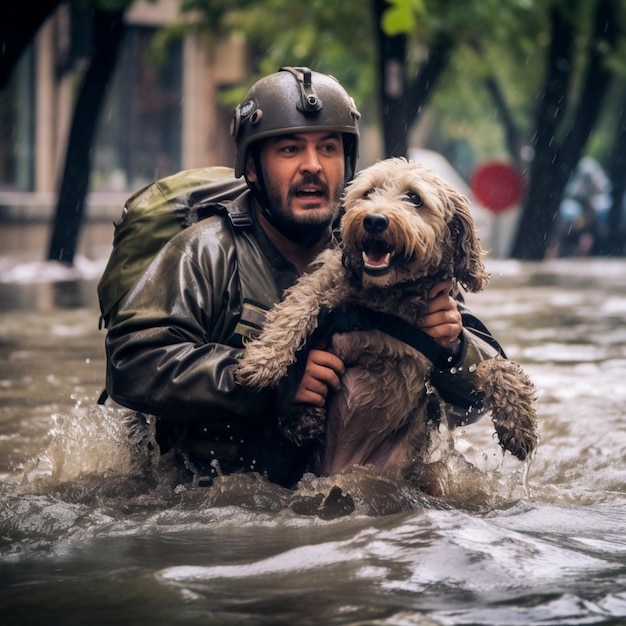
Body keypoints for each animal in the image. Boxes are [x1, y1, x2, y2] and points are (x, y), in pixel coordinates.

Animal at [235, 157, 536, 492]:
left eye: (414, 198)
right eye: (368, 193)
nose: (374, 221)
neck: (388, 300)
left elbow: (495, 366)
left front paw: (520, 426)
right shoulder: (323, 282)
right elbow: (297, 307)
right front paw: (263, 360)